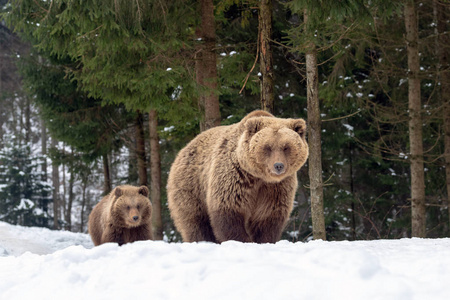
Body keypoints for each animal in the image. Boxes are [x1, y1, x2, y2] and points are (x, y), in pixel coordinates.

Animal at [167, 110, 308, 244]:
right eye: (267, 147)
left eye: (286, 147)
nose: (278, 165)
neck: (259, 176)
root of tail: (185, 148)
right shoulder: (236, 177)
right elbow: (230, 212)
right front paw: (242, 240)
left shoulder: (276, 188)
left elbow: (268, 215)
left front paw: (264, 240)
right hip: (192, 185)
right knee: (195, 220)